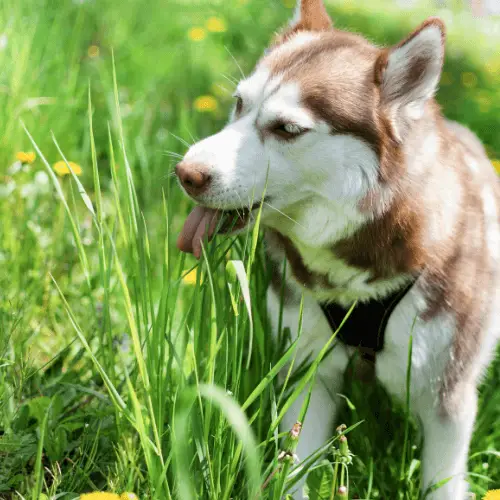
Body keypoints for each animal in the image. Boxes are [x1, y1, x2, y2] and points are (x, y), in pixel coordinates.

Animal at [175, 1, 496, 498]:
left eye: (287, 128)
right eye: (240, 103)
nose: (186, 173)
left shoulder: (448, 399)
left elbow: (442, 480)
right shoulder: (307, 370)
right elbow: (293, 464)